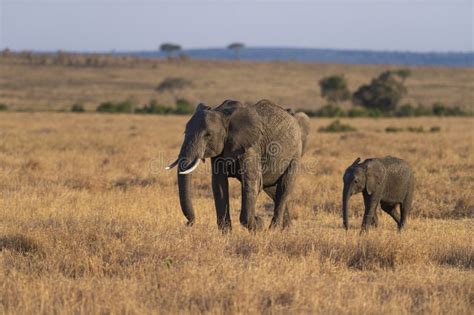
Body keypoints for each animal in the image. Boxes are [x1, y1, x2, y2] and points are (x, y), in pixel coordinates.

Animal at [167, 99, 312, 232]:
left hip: (295, 153)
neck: (223, 115)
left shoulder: (251, 146)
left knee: (284, 187)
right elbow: (219, 184)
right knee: (272, 189)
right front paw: (226, 233)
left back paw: (273, 230)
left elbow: (251, 182)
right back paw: (286, 230)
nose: (188, 223)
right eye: (185, 132)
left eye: (207, 135)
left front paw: (258, 225)